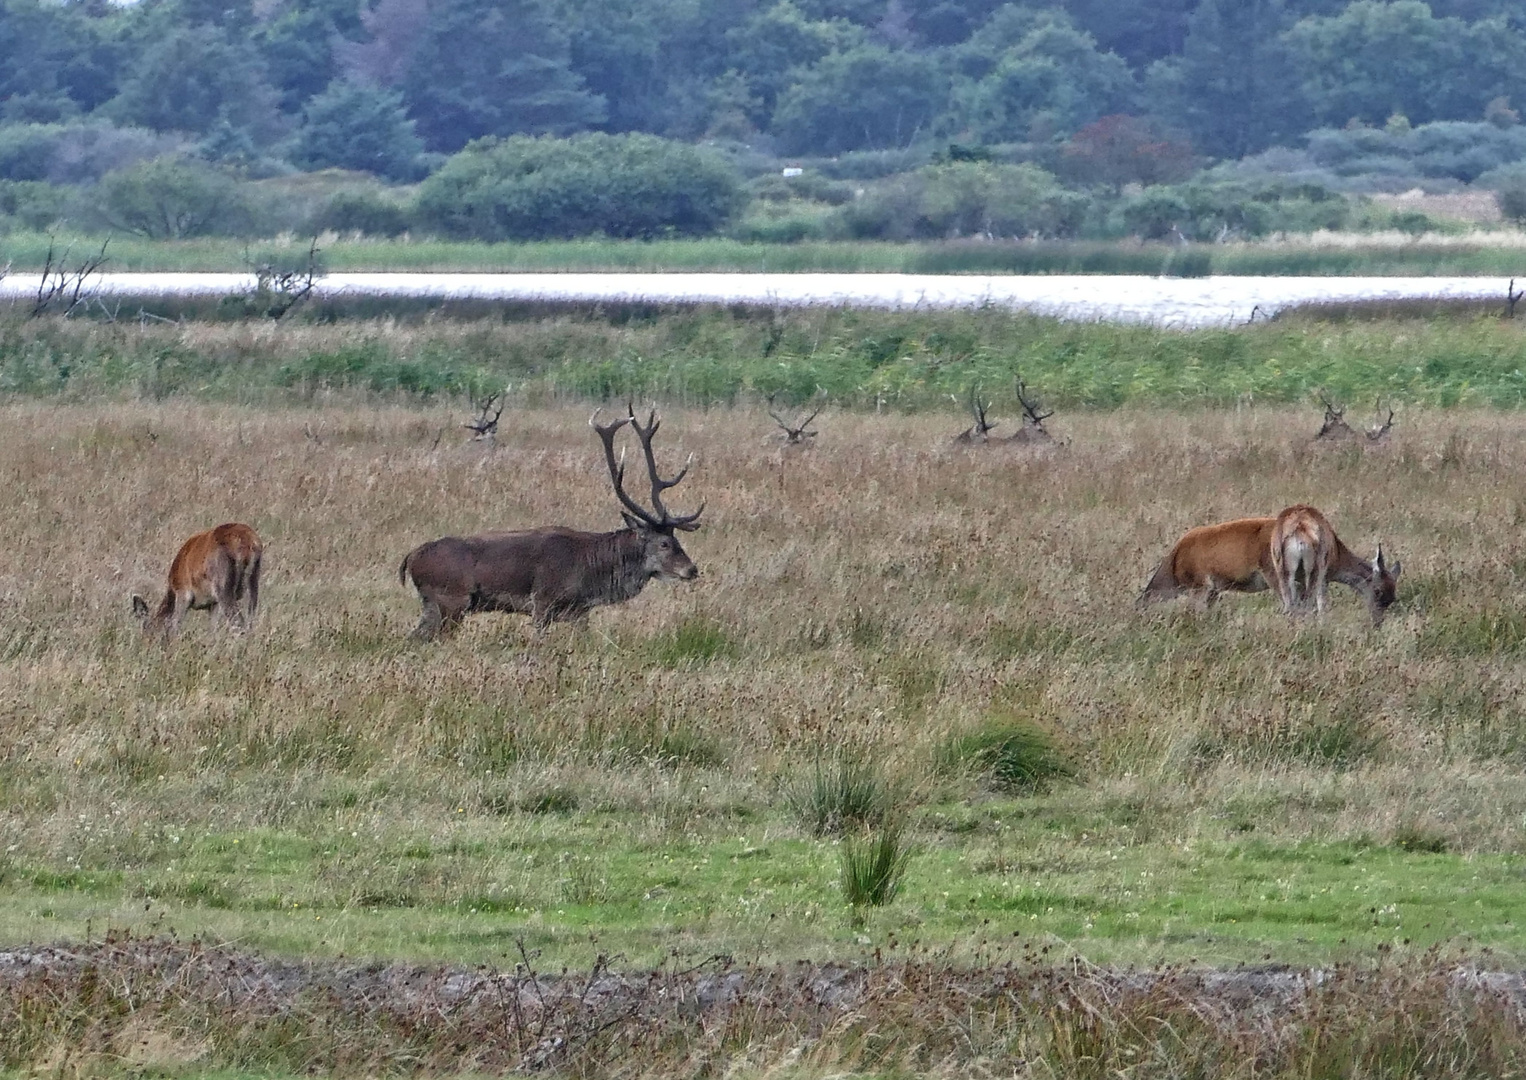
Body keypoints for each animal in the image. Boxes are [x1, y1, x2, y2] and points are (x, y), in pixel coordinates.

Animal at [132, 521, 263, 637]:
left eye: (148, 632)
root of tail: (250, 544)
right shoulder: (213, 603)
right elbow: (213, 630)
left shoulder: (183, 593)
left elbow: (175, 625)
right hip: (252, 581)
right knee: (250, 620)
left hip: (223, 586)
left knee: (239, 624)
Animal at [396, 405, 698, 640]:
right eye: (664, 543)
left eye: (677, 539)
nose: (692, 569)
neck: (590, 571)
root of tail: (411, 558)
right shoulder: (542, 600)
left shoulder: (579, 612)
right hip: (451, 599)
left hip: (435, 604)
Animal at [1269, 503, 1397, 625]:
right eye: (1377, 590)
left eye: (1392, 597)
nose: (1378, 623)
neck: (1337, 551)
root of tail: (1299, 528)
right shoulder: (1324, 579)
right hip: (1315, 571)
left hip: (1283, 571)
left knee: (1290, 606)